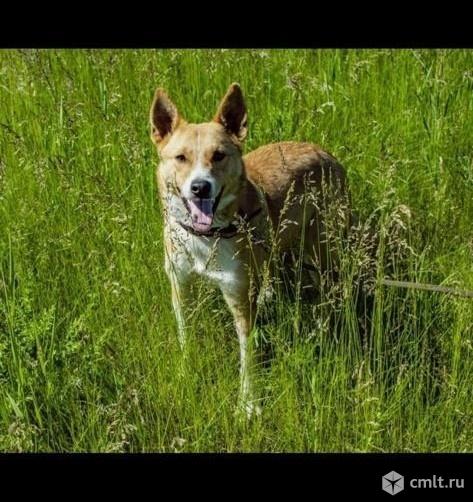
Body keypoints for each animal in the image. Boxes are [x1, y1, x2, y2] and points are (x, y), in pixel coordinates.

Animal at [149, 83, 349, 417]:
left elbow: (248, 355)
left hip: (324, 244)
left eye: (219, 155)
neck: (208, 237)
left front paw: (248, 403)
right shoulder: (180, 284)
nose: (200, 188)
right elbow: (185, 332)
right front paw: (186, 370)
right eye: (180, 157)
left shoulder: (239, 297)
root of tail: (324, 152)